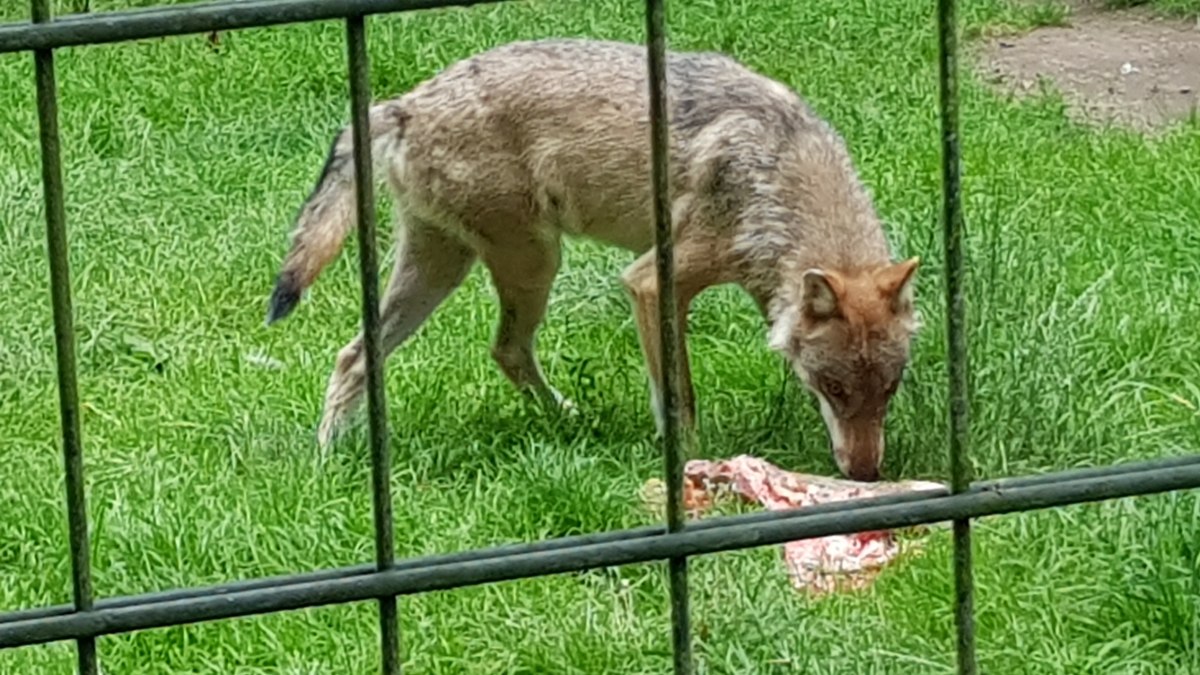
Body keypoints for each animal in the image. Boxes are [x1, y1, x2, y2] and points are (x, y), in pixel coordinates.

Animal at [264, 38, 921, 482]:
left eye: (888, 389)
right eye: (833, 387)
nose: (866, 474)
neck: (779, 173)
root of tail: (404, 103)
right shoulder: (651, 284)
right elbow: (679, 398)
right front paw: (689, 464)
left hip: (448, 270)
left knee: (364, 355)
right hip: (532, 262)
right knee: (497, 349)